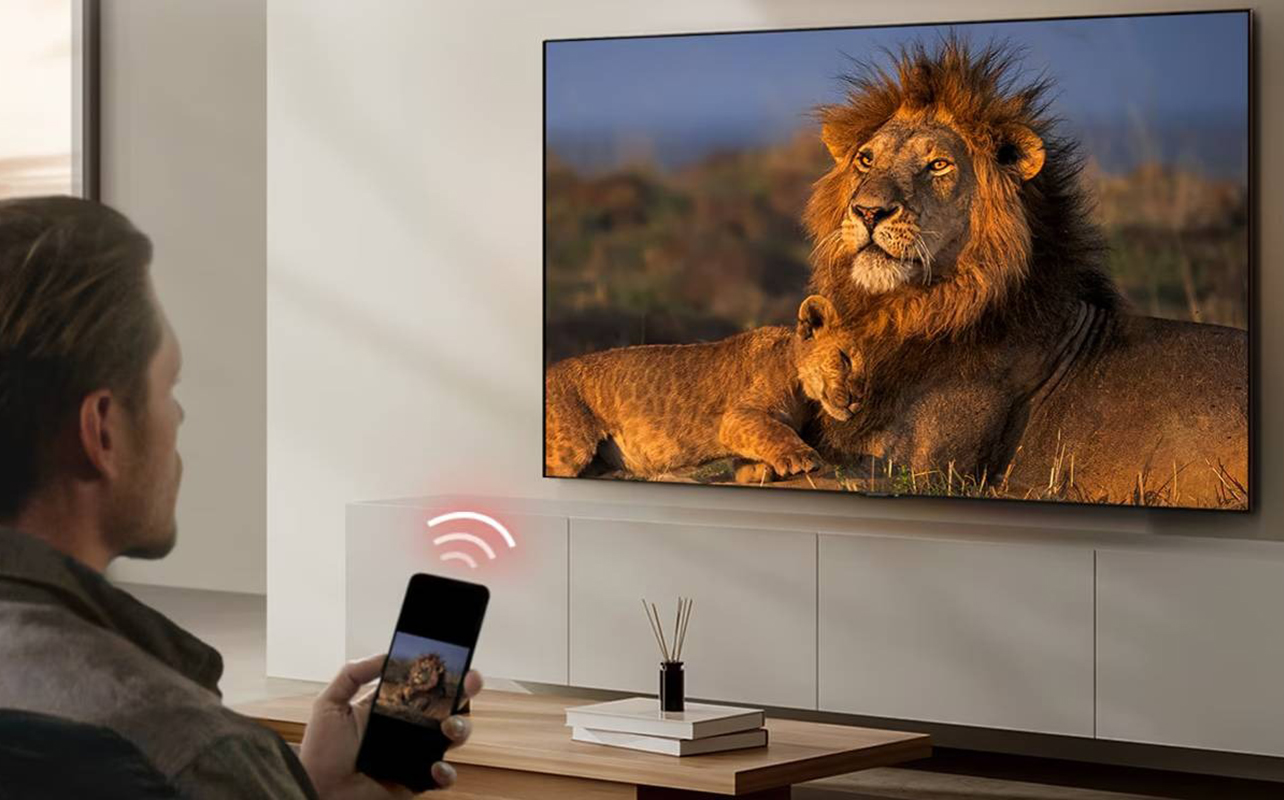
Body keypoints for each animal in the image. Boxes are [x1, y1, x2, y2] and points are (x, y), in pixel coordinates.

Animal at [546, 294, 867, 482]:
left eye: (866, 374)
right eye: (844, 358)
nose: (857, 401)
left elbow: (753, 463)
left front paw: (765, 469)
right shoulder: (737, 418)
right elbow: (776, 430)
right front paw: (801, 459)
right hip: (568, 451)